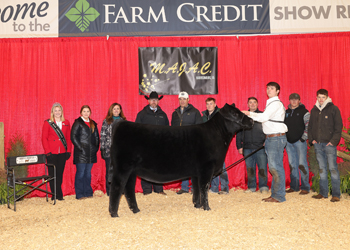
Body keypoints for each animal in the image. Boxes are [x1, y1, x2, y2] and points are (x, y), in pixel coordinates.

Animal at [108, 103, 252, 217]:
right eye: (235, 113)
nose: (251, 120)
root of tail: (121, 124)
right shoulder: (206, 168)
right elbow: (204, 188)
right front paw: (206, 208)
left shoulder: (196, 172)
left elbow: (196, 188)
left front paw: (197, 205)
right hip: (122, 167)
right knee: (116, 187)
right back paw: (114, 213)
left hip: (132, 171)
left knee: (129, 189)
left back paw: (135, 210)